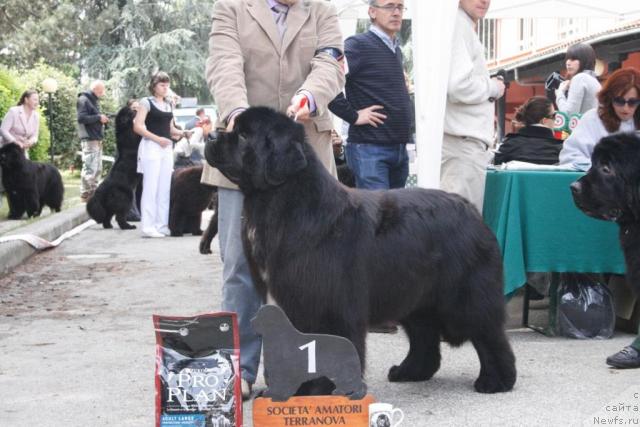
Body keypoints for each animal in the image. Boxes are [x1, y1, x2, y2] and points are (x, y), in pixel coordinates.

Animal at [208, 107, 516, 394]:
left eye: (244, 135)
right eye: (234, 128)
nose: (211, 135)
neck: (282, 202)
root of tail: (472, 211)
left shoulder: (326, 302)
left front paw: (322, 390)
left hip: (465, 297)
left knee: (488, 334)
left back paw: (496, 380)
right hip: (414, 294)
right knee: (424, 335)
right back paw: (410, 371)